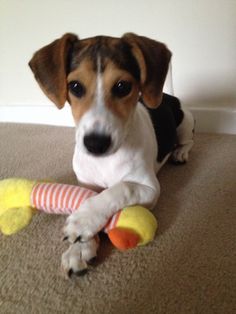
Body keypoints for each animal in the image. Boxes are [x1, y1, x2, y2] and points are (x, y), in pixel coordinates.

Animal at [29, 31, 194, 278]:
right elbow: (86, 198)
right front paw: (80, 248)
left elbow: (122, 188)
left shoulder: (149, 188)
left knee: (188, 140)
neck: (105, 161)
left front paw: (83, 220)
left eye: (122, 86)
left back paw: (180, 152)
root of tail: (167, 95)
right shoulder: (87, 185)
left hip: (185, 120)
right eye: (75, 86)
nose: (95, 143)